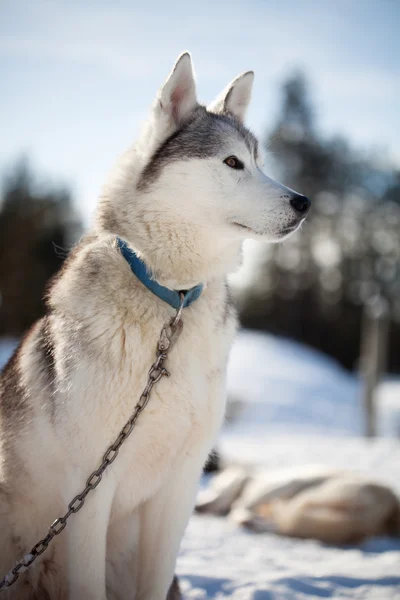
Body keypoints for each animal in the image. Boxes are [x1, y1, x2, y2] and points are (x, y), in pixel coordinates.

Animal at [0, 52, 310, 600]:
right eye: (232, 163)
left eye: (260, 161)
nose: (304, 203)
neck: (174, 301)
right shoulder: (89, 488)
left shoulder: (181, 485)